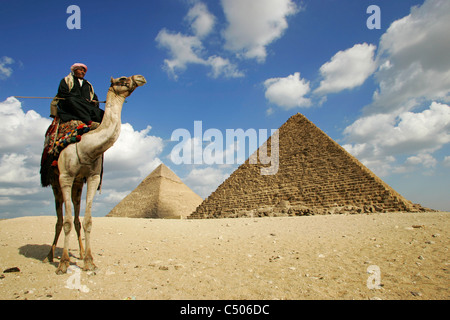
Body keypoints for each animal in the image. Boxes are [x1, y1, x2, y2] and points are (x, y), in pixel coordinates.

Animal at [43, 74, 147, 274]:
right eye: (122, 78)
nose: (140, 78)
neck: (86, 146)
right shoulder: (65, 177)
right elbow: (66, 222)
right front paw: (64, 263)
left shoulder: (93, 178)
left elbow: (88, 221)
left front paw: (89, 261)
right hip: (55, 184)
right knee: (60, 220)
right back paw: (49, 256)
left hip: (77, 186)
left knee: (76, 218)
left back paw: (82, 253)